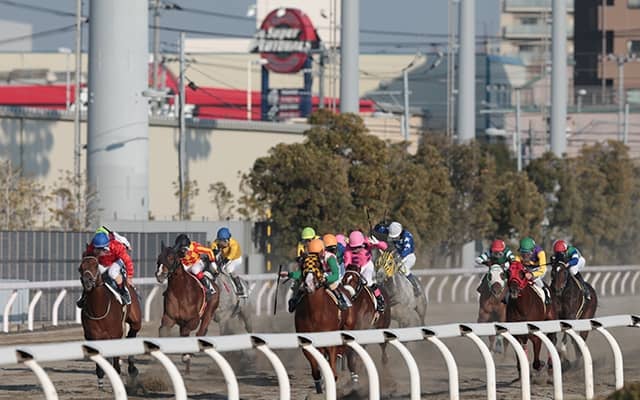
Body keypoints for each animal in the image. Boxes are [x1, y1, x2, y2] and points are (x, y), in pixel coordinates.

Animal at [79, 256, 141, 389]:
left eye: (95, 265)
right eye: (80, 268)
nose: (87, 282)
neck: (99, 309)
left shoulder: (116, 334)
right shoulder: (92, 336)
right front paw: (100, 377)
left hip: (136, 320)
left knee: (132, 333)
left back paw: (132, 368)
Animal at [155, 242, 220, 373]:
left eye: (171, 257)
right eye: (159, 257)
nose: (160, 275)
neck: (180, 291)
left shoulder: (193, 320)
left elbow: (186, 332)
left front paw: (186, 355)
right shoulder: (169, 318)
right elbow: (163, 331)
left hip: (209, 313)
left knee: (200, 332)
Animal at [295, 254, 355, 394]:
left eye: (318, 265)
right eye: (303, 266)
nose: (309, 284)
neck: (315, 313)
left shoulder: (331, 339)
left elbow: (332, 367)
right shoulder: (307, 343)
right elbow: (315, 368)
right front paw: (320, 386)